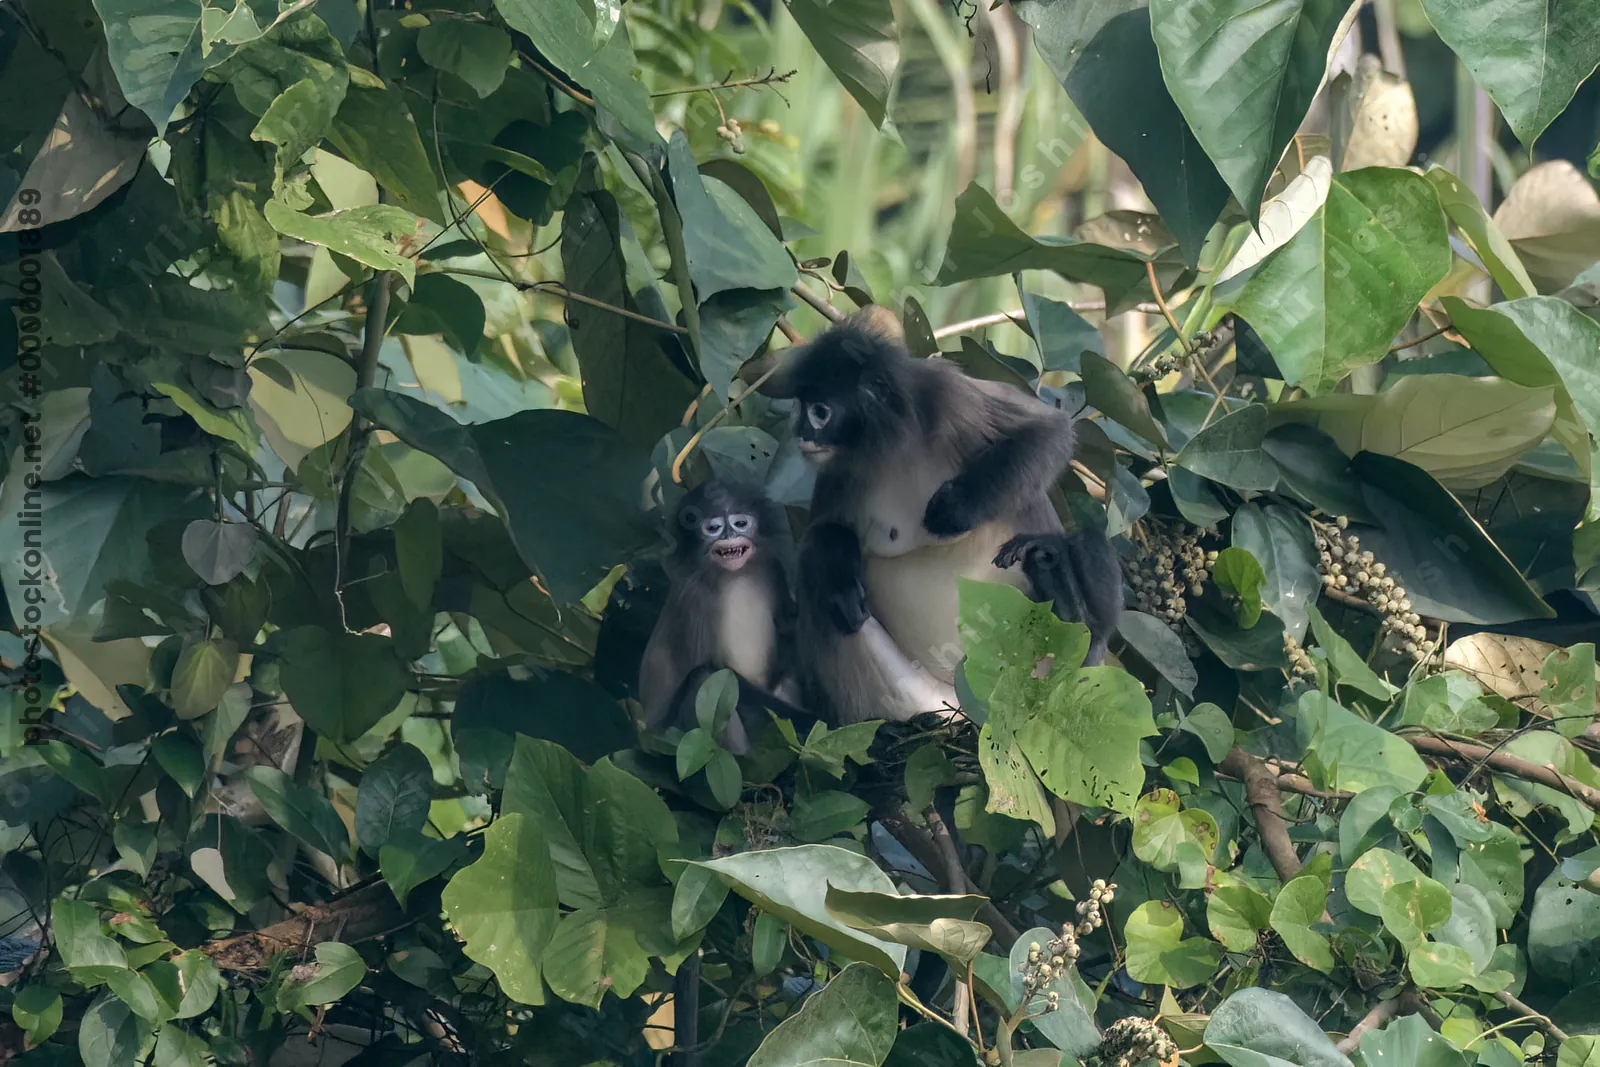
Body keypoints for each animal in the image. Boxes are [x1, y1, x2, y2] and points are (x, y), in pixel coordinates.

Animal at [638, 479, 813, 754]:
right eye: (713, 528)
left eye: (740, 523)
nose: (729, 537)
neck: (735, 576)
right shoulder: (696, 595)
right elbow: (720, 671)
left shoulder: (772, 567)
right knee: (702, 677)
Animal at [760, 306, 1122, 725]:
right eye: (800, 408)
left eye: (819, 412)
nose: (802, 433)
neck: (890, 443)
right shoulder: (841, 468)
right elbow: (824, 530)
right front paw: (840, 584)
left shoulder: (944, 395)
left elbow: (1048, 429)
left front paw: (954, 511)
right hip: (914, 697)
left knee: (1089, 541)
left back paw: (1064, 601)